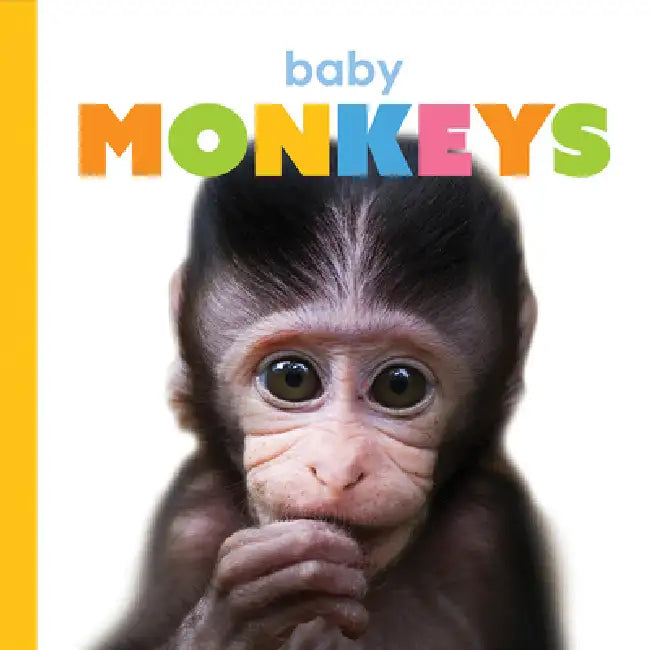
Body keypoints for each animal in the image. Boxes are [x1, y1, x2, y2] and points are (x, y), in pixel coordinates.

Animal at [94, 138, 562, 650]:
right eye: (292, 378)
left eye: (400, 385)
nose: (339, 470)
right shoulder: (188, 524)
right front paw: (239, 613)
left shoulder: (489, 536)